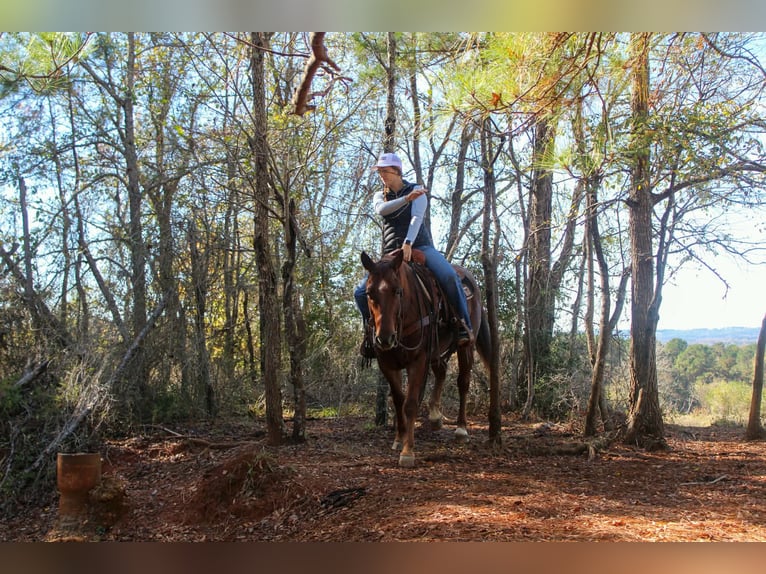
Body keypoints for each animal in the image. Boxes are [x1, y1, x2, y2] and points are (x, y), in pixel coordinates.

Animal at [360, 248, 492, 467]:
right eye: (369, 293)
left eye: (398, 291)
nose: (385, 338)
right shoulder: (387, 363)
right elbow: (398, 400)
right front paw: (399, 439)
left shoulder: (418, 360)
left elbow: (411, 403)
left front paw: (407, 451)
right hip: (437, 349)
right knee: (441, 371)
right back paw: (435, 416)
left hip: (466, 346)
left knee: (463, 382)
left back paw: (461, 429)